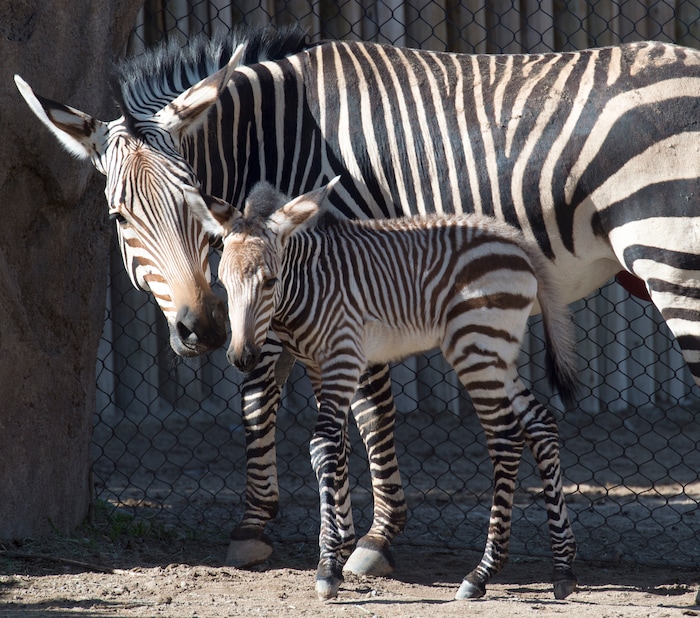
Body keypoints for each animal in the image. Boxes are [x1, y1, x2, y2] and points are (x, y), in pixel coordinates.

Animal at [187, 177, 579, 600]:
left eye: (270, 281)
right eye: (224, 283)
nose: (242, 358)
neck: (307, 287)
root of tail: (516, 241)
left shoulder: (342, 356)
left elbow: (324, 445)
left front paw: (328, 566)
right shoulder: (318, 366)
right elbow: (338, 447)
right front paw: (342, 547)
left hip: (476, 347)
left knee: (505, 439)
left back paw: (482, 573)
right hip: (496, 353)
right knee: (540, 425)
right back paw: (563, 567)